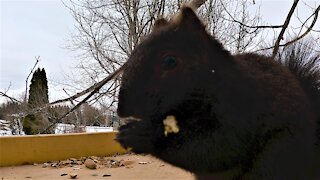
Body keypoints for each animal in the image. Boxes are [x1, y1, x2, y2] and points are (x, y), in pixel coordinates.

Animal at [115, 4, 320, 179]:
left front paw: (140, 134)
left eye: (169, 61)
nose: (122, 110)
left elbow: (217, 147)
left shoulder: (241, 108)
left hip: (277, 157)